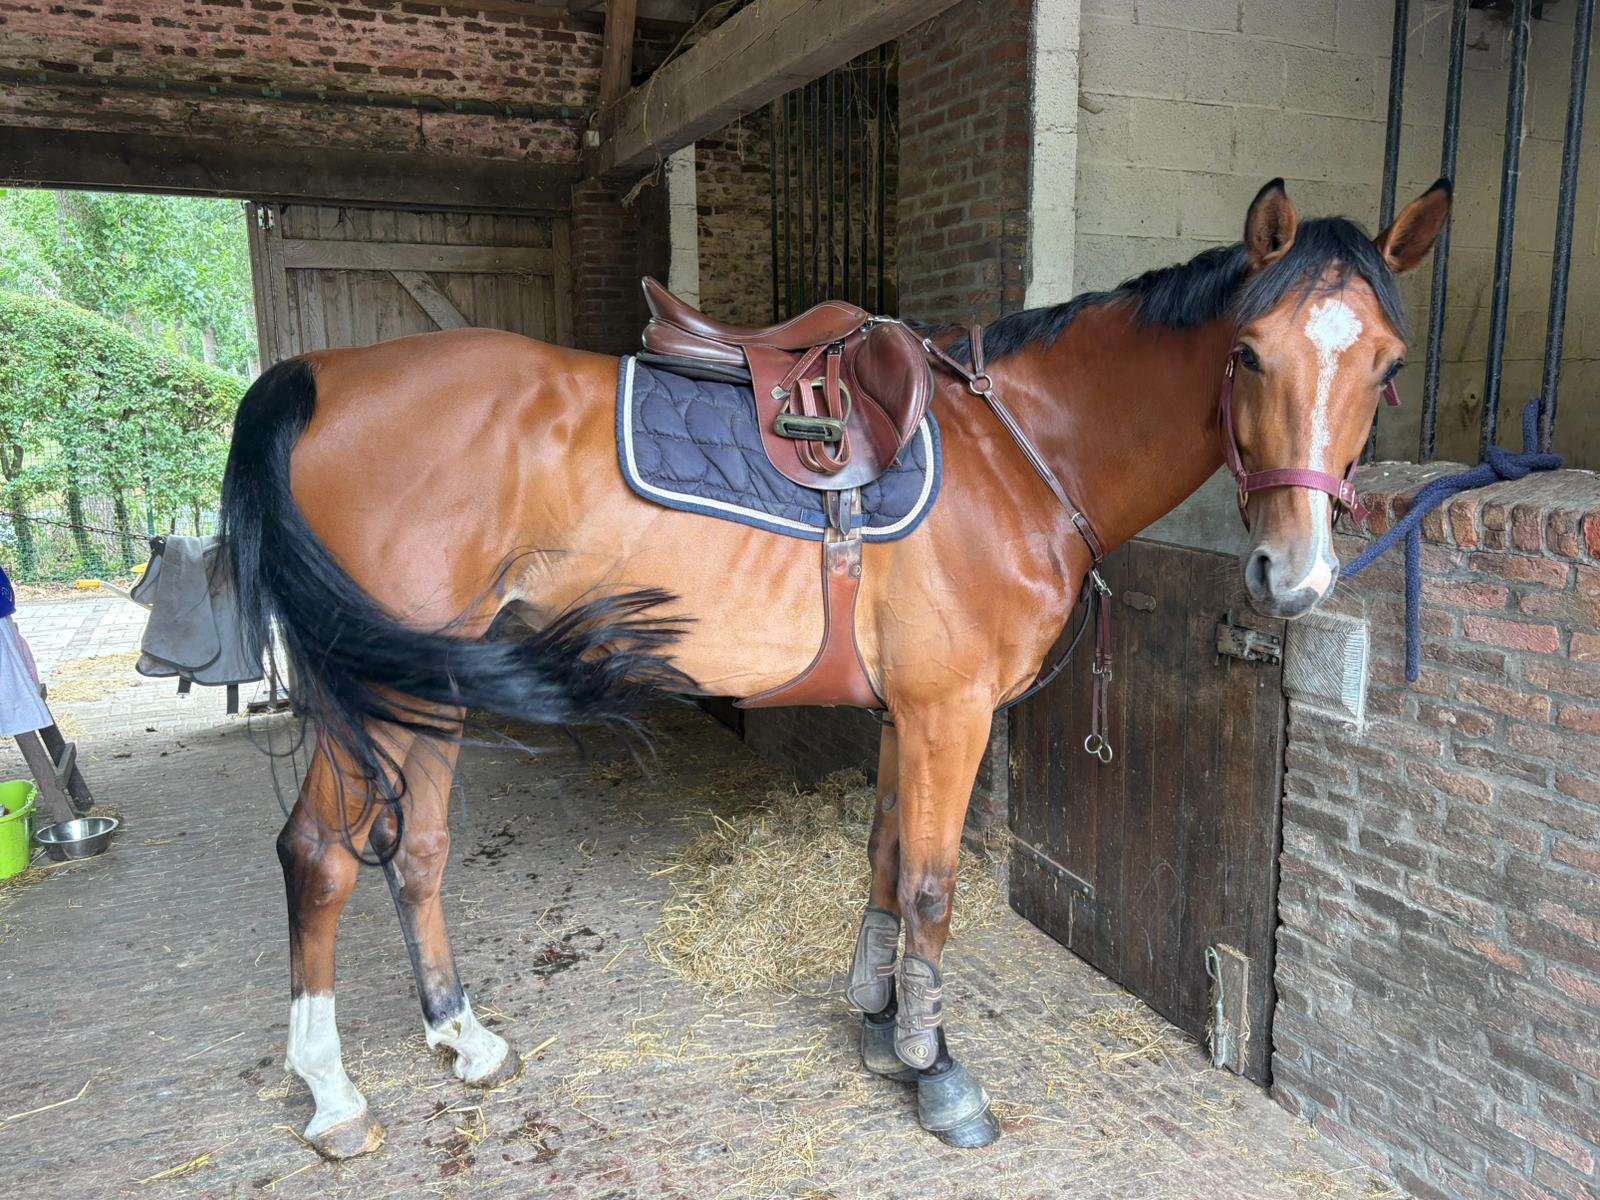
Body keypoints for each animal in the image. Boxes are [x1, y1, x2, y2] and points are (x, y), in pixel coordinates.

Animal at [220, 177, 1451, 1157]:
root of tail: (316, 376)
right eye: (1247, 352)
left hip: (427, 683)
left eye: (1388, 367)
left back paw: (462, 1038)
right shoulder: (953, 712)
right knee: (319, 856)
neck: (1019, 452)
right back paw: (334, 1097)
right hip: (376, 687)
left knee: (416, 848)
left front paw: (877, 1025)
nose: (1294, 575)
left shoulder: (909, 712)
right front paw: (936, 1070)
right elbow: (935, 887)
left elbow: (883, 861)